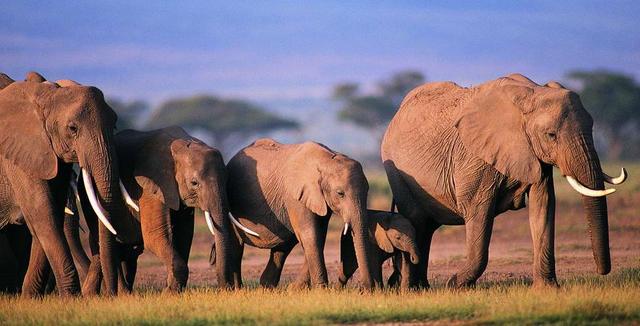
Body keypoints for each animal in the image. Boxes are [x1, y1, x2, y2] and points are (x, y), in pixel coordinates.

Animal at [0, 72, 139, 296]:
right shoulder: (17, 153)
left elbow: (52, 211)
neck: (45, 94)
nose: (112, 294)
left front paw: (30, 297)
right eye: (73, 128)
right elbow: (42, 211)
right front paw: (71, 298)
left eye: (115, 125)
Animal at [224, 138, 380, 288]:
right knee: (236, 246)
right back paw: (238, 288)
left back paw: (267, 287)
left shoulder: (319, 199)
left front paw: (296, 289)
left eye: (367, 191)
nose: (366, 289)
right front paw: (321, 289)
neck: (326, 160)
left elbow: (319, 235)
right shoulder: (296, 196)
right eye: (340, 193)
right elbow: (310, 234)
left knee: (282, 247)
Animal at [380, 73, 624, 288]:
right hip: (398, 173)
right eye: (551, 135)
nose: (602, 271)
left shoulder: (534, 156)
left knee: (427, 228)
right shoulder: (475, 157)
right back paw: (412, 288)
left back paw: (422, 287)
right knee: (417, 221)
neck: (533, 92)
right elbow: (478, 211)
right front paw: (455, 286)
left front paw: (548, 289)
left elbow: (543, 207)